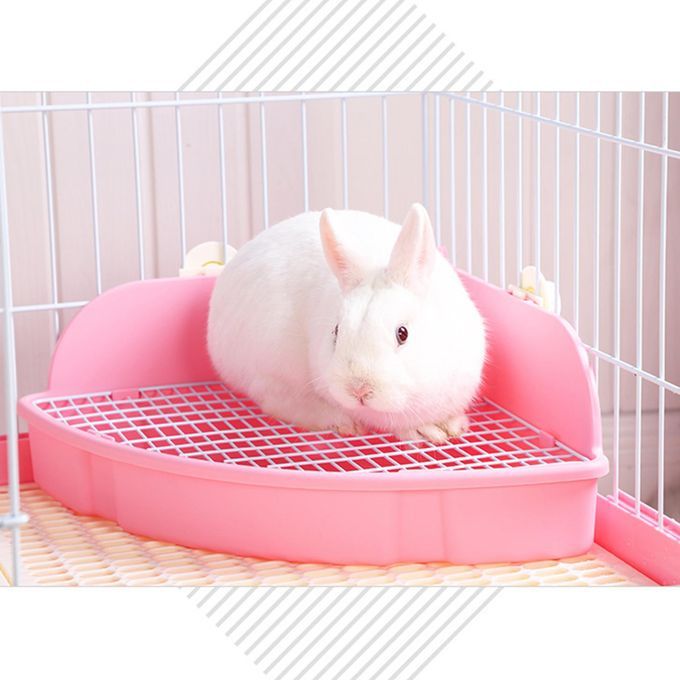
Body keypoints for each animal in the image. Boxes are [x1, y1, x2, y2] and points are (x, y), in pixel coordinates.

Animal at [206, 204, 486, 443]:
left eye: (403, 333)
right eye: (337, 331)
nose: (359, 389)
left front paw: (453, 425)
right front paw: (425, 431)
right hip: (272, 366)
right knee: (281, 402)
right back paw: (342, 421)